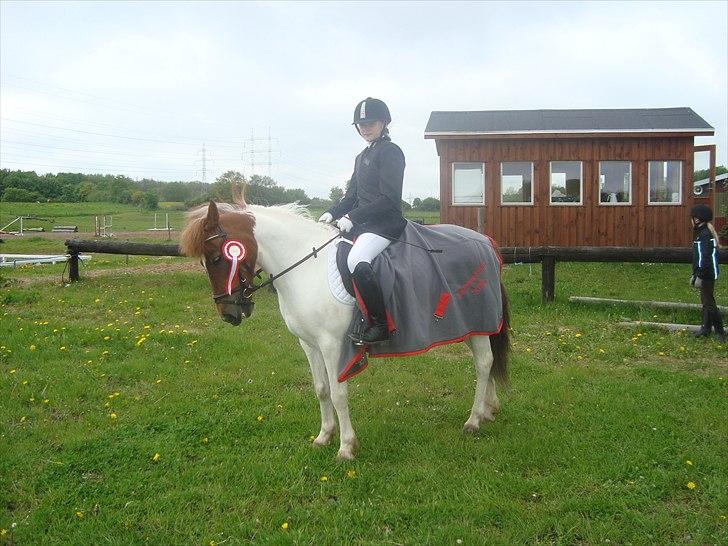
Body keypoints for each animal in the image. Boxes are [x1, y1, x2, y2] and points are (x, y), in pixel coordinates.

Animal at [179, 189, 510, 460]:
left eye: (216, 257)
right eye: (206, 261)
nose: (229, 313)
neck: (305, 266)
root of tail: (485, 242)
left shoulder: (332, 345)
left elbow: (339, 392)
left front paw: (346, 447)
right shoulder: (308, 344)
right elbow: (321, 389)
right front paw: (324, 436)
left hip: (477, 319)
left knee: (483, 363)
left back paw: (473, 420)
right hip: (471, 325)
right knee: (486, 361)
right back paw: (488, 411)